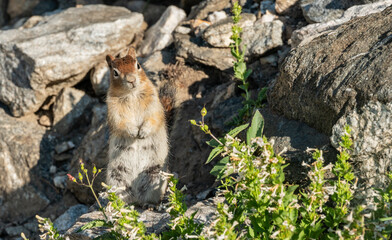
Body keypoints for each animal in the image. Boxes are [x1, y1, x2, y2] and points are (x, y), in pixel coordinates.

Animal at [105, 47, 168, 205]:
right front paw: (134, 132)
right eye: (115, 72)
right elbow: (121, 123)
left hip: (156, 174)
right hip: (115, 177)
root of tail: (137, 197)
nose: (131, 80)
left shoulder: (154, 105)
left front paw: (143, 132)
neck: (132, 94)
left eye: (138, 65)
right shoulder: (114, 111)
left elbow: (153, 118)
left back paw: (151, 204)